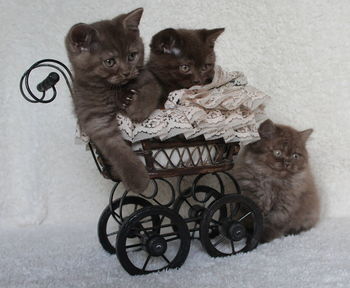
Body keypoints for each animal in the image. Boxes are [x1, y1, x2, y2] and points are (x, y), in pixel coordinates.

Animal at [65, 8, 160, 194]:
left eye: (132, 55)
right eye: (109, 62)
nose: (127, 72)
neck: (113, 90)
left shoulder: (148, 78)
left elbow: (151, 91)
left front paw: (137, 110)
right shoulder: (96, 121)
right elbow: (117, 150)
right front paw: (137, 178)